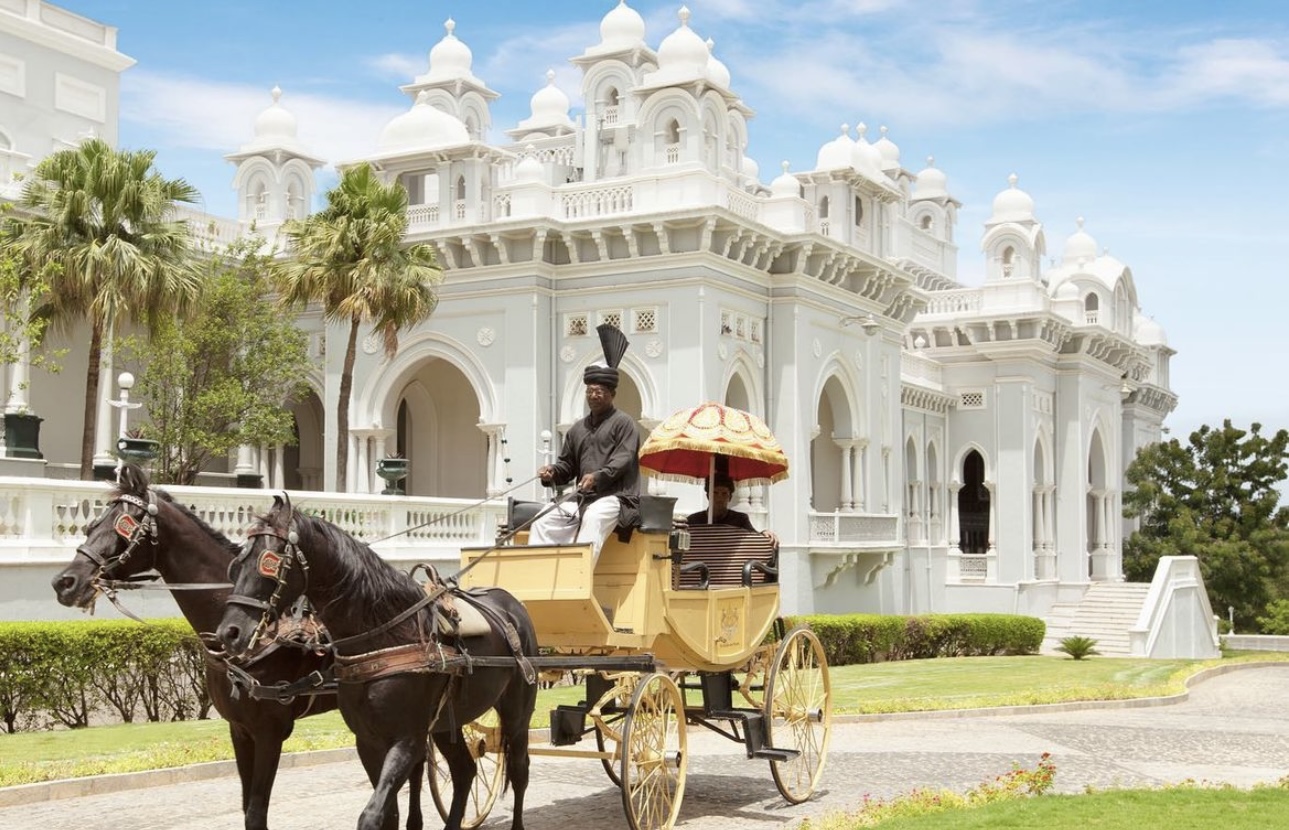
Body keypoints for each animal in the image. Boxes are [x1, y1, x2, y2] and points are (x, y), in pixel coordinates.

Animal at [50, 466, 427, 830]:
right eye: (92, 524)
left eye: (123, 528)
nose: (64, 582)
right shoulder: (241, 730)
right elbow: (247, 808)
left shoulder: (270, 731)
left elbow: (256, 813)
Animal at [213, 492, 536, 830]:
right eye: (238, 564)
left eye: (269, 563)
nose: (229, 632)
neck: (386, 636)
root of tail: (512, 604)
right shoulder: (367, 740)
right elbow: (389, 813)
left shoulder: (407, 739)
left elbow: (372, 814)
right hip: (446, 723)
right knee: (464, 770)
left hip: (517, 712)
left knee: (519, 770)